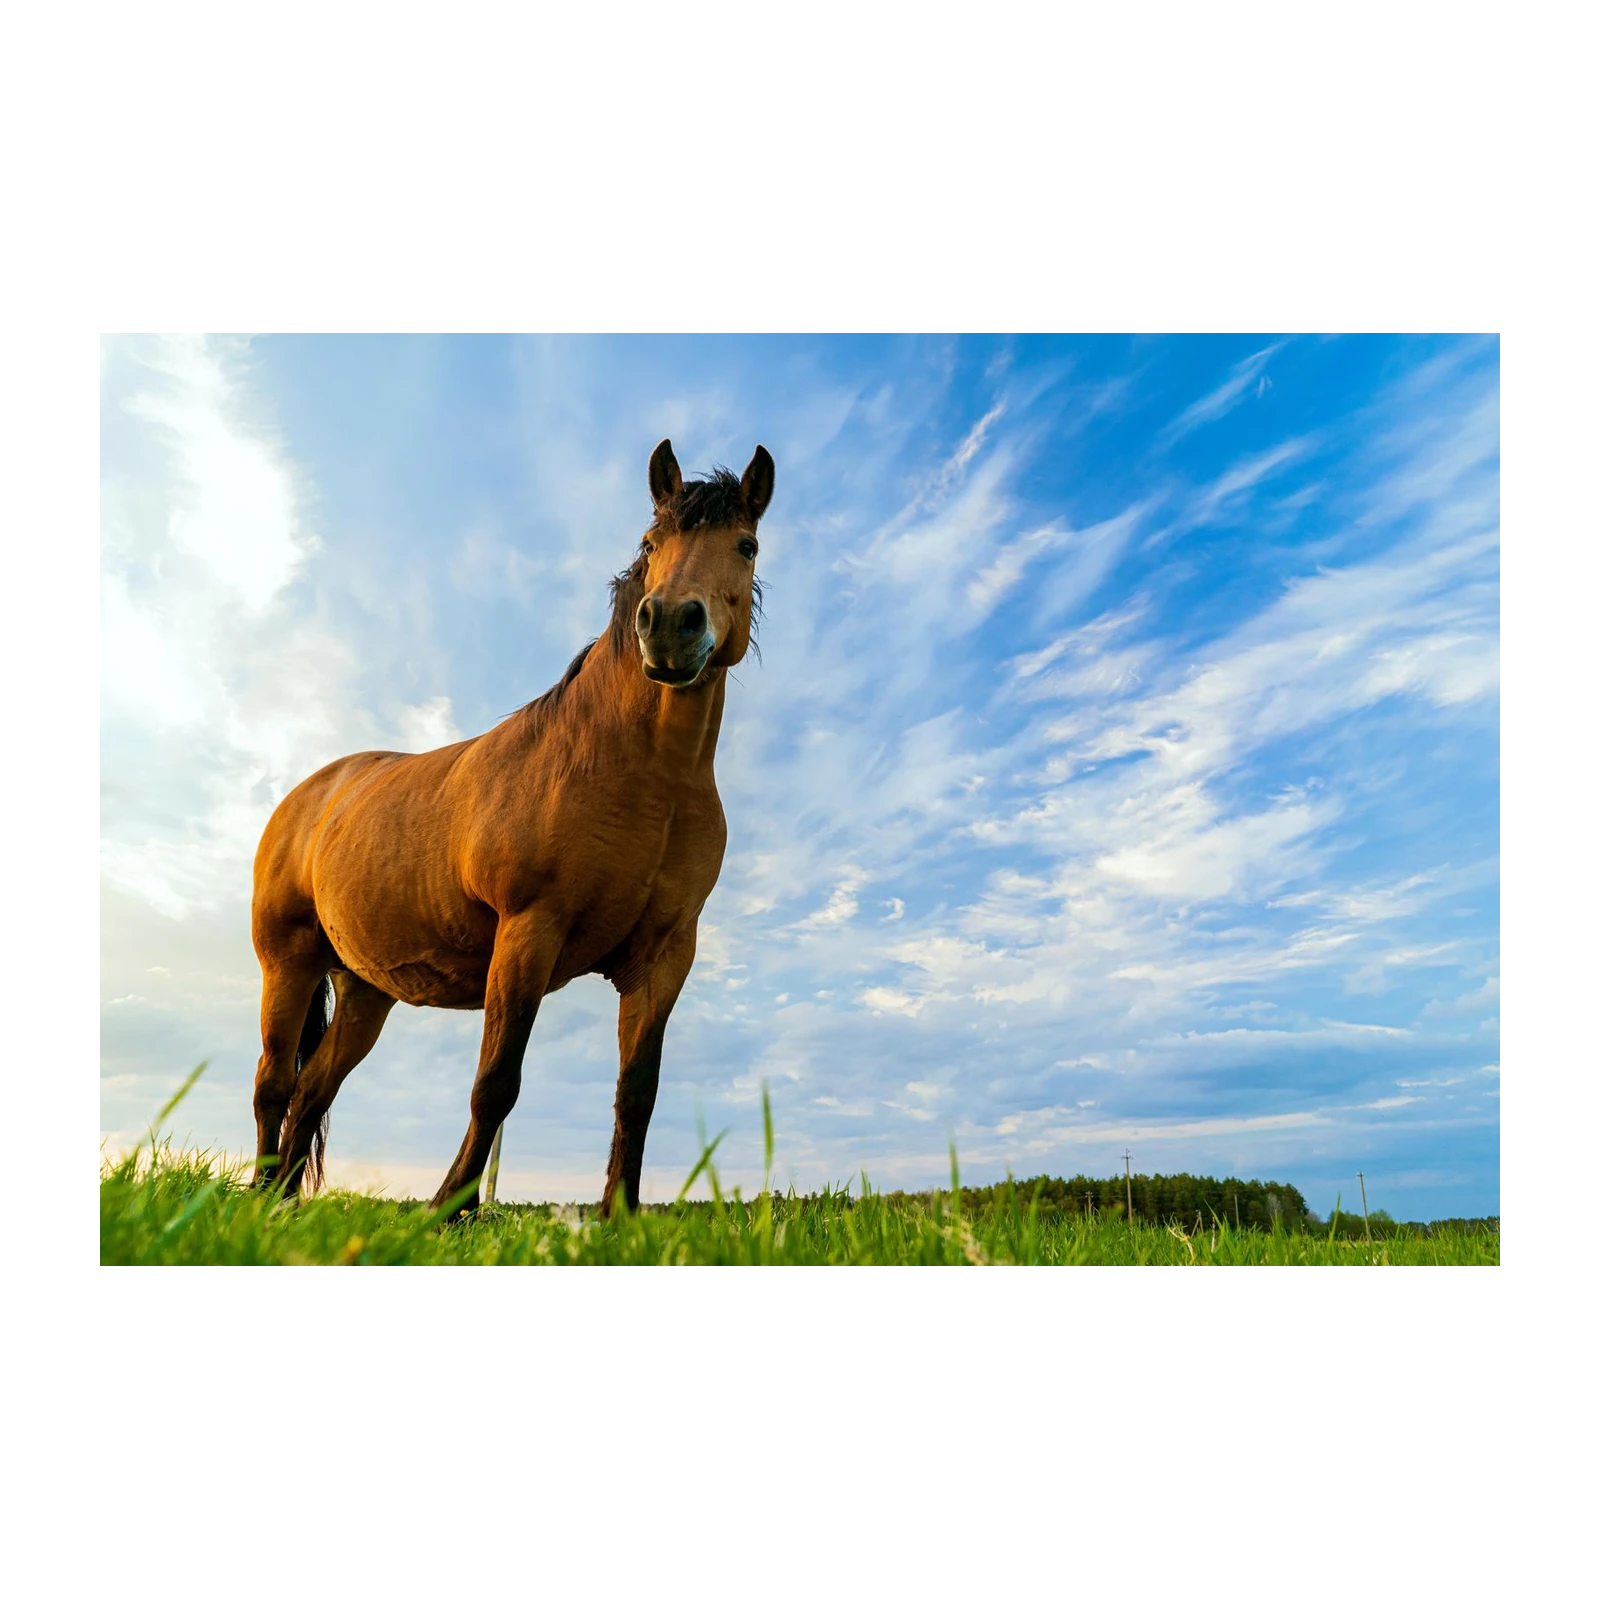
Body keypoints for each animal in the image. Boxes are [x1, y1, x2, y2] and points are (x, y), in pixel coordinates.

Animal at [249, 438, 773, 1218]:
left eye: (746, 544)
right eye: (652, 543)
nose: (670, 626)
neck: (643, 776)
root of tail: (310, 794)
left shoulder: (664, 958)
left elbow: (637, 1095)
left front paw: (620, 1218)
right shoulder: (530, 930)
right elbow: (496, 1083)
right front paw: (448, 1210)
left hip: (366, 991)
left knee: (313, 1090)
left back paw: (281, 1206)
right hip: (287, 963)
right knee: (273, 1086)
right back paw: (254, 1198)